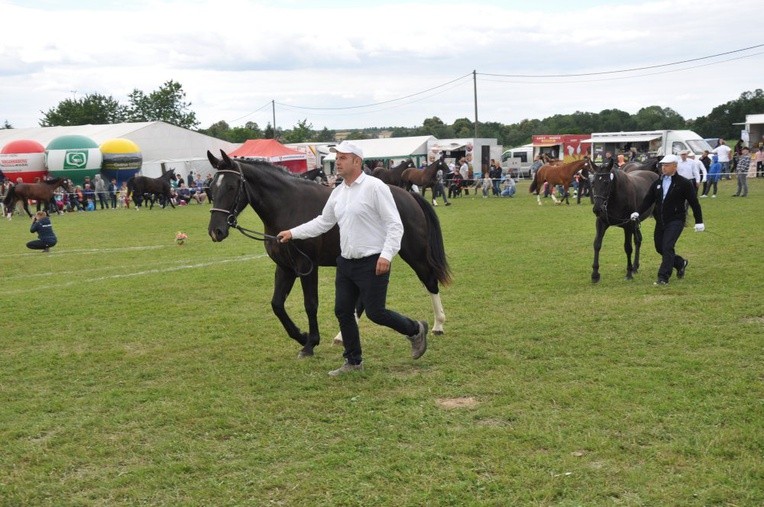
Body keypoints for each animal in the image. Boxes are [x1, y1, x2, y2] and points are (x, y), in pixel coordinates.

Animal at [206, 151, 450, 362]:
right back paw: (341, 336)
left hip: (415, 254)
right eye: (211, 187)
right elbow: (277, 305)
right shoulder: (285, 268)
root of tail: (409, 195)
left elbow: (310, 304)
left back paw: (438, 325)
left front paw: (310, 343)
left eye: (231, 186)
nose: (216, 231)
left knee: (430, 281)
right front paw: (301, 336)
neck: (289, 206)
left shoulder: (307, 266)